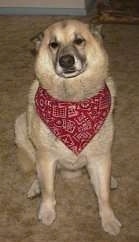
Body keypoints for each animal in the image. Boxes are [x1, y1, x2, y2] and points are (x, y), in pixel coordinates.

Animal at [15, 19, 121, 235]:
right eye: (53, 45)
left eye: (79, 41)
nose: (66, 61)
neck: (71, 104)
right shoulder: (46, 157)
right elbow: (48, 190)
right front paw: (47, 211)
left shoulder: (99, 157)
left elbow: (104, 195)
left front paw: (108, 219)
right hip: (23, 129)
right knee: (39, 174)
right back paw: (35, 187)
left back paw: (111, 179)